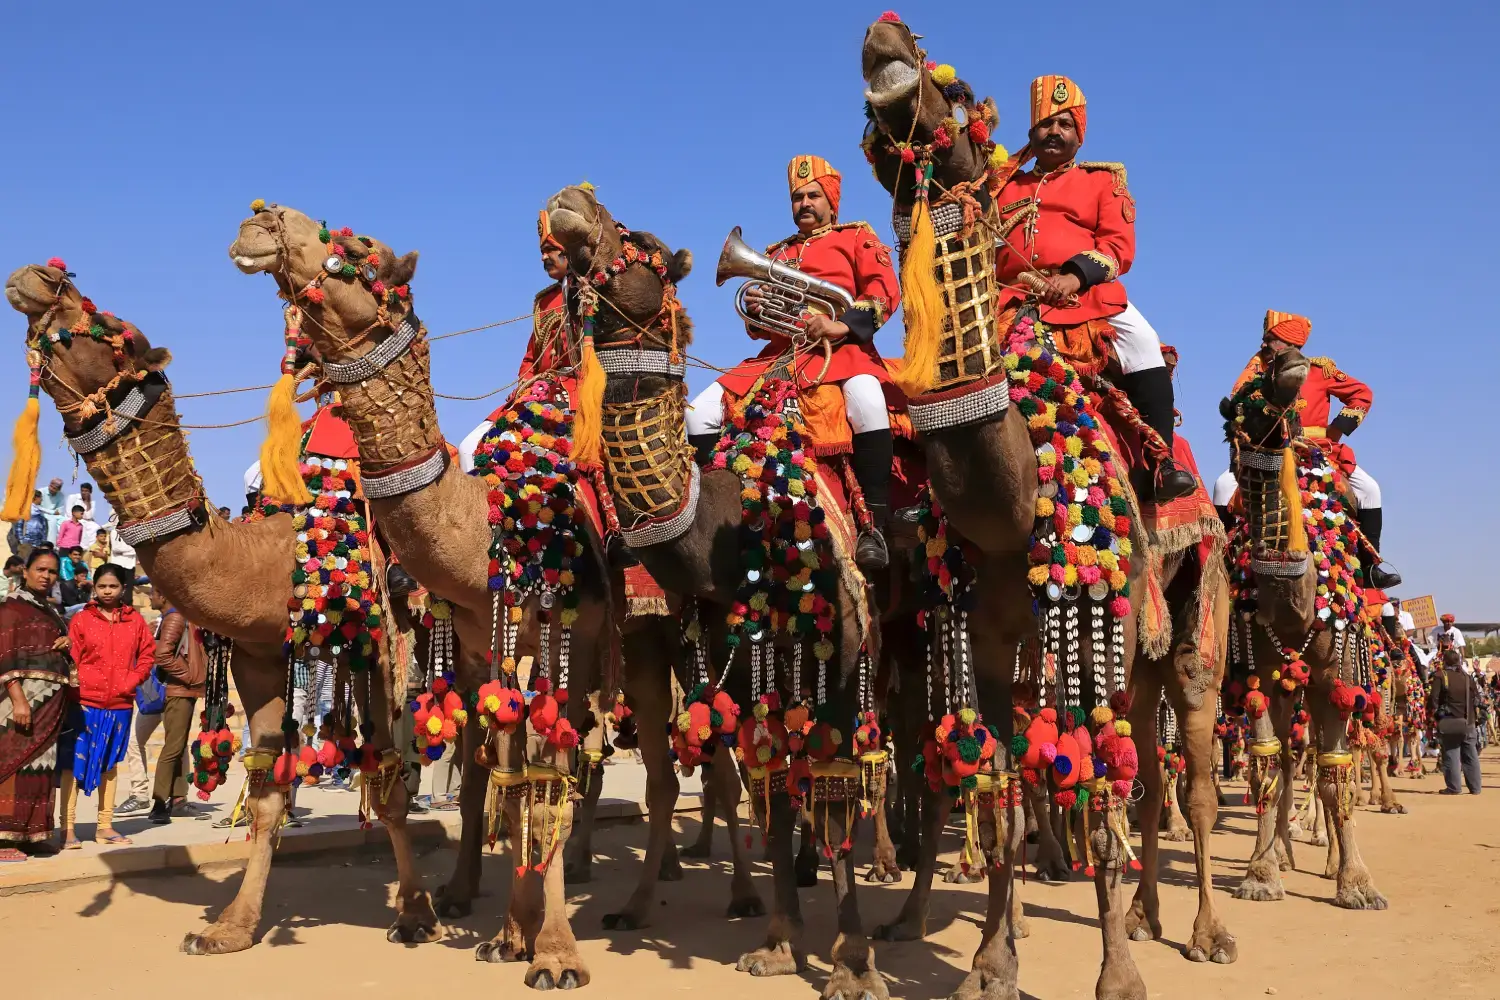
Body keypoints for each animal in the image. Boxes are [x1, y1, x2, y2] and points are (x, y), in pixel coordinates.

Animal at [4, 262, 435, 953]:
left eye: (120, 334)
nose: (40, 276)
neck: (272, 557)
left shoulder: (371, 649)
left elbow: (387, 778)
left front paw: (415, 913)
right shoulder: (258, 656)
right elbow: (267, 787)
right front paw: (230, 929)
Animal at [229, 200, 696, 983]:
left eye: (359, 247)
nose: (260, 221)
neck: (488, 527)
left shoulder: (572, 632)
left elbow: (545, 775)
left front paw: (555, 951)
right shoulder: (485, 643)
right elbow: (503, 774)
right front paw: (507, 932)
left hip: (653, 640)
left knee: (670, 771)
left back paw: (657, 903)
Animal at [858, 15, 1230, 1000]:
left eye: (956, 91)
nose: (885, 34)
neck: (1017, 495)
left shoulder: (1098, 599)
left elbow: (1090, 780)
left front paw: (1119, 977)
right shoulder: (983, 632)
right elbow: (994, 774)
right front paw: (990, 960)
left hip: (1192, 621)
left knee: (1193, 771)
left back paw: (1206, 930)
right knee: (1147, 766)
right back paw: (1143, 912)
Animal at [1224, 340, 1386, 911]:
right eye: (1242, 405)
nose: (1289, 365)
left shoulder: (1334, 678)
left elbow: (1335, 771)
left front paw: (1357, 884)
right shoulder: (1261, 674)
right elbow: (1266, 764)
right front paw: (1259, 874)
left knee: (1322, 759)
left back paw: (1330, 857)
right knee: (1294, 761)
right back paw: (1284, 853)